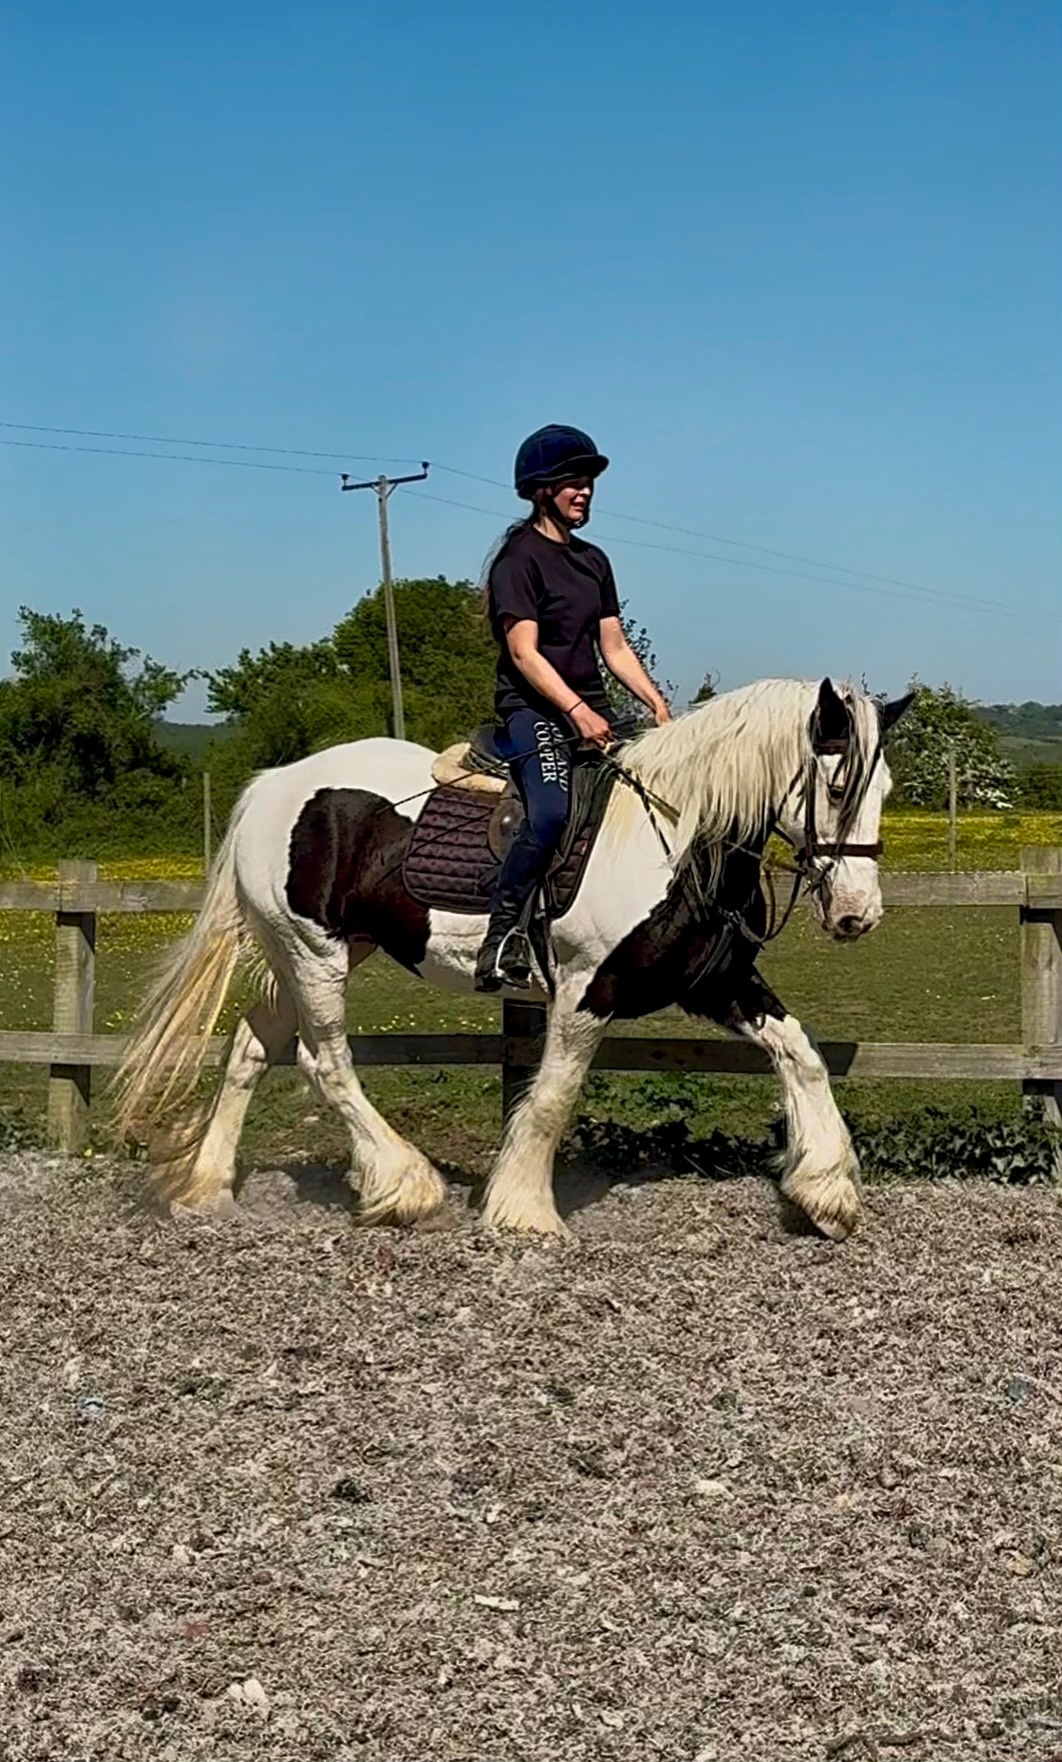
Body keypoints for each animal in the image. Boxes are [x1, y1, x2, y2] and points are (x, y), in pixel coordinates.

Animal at [112, 676, 911, 1241]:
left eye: (886, 789)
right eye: (838, 786)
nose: (857, 914)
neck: (679, 837)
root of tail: (272, 785)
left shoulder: (715, 981)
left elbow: (800, 1055)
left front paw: (827, 1192)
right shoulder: (588, 988)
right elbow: (555, 1093)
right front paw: (524, 1208)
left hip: (314, 951)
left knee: (250, 1049)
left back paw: (208, 1187)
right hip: (315, 955)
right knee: (325, 1061)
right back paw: (405, 1187)